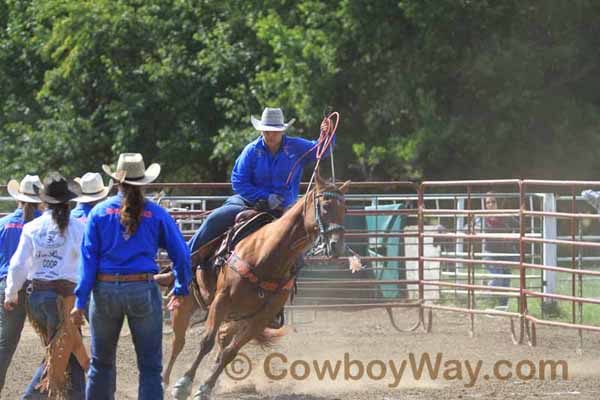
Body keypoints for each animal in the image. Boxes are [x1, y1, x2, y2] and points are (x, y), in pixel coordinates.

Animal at [169, 179, 350, 400]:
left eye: (345, 209)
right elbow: (206, 342)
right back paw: (163, 380)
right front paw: (184, 384)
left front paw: (205, 388)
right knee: (178, 342)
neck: (266, 255)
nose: (337, 246)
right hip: (185, 303)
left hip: (236, 318)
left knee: (222, 339)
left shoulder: (261, 318)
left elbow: (230, 353)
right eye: (325, 206)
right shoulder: (221, 301)